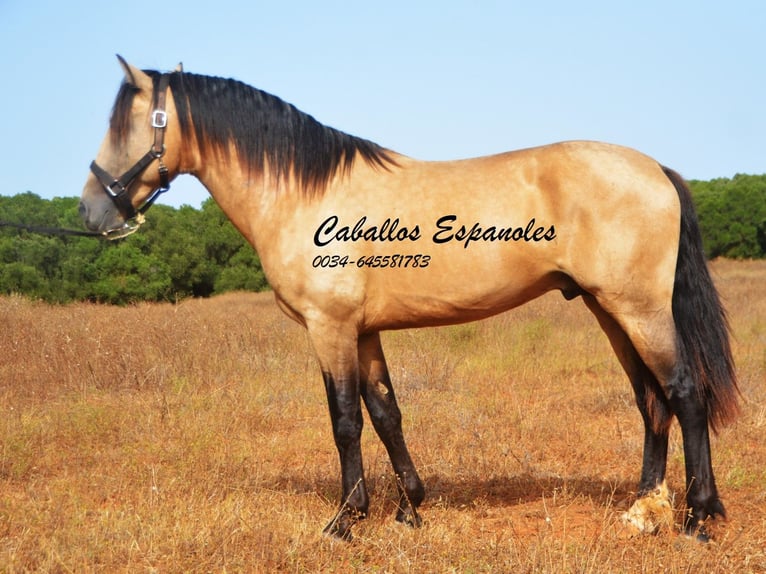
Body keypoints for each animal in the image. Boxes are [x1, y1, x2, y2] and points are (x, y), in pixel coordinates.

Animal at [78, 56, 736, 544]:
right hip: (610, 310)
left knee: (684, 394)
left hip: (639, 310)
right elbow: (386, 413)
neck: (305, 194)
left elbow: (345, 419)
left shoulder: (330, 328)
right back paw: (643, 511)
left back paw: (697, 518)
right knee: (650, 401)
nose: (91, 212)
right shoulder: (364, 331)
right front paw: (408, 509)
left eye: (124, 125)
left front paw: (345, 521)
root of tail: (655, 168)